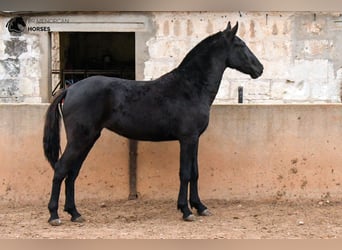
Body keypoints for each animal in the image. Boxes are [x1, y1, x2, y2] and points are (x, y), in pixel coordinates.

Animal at [42, 21, 262, 226]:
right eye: (241, 45)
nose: (260, 69)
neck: (190, 86)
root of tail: (70, 89)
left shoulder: (195, 140)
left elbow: (195, 172)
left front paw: (200, 207)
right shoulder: (187, 139)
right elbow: (185, 173)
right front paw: (186, 210)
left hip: (88, 139)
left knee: (72, 172)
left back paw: (75, 213)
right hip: (80, 140)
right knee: (61, 169)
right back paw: (54, 215)